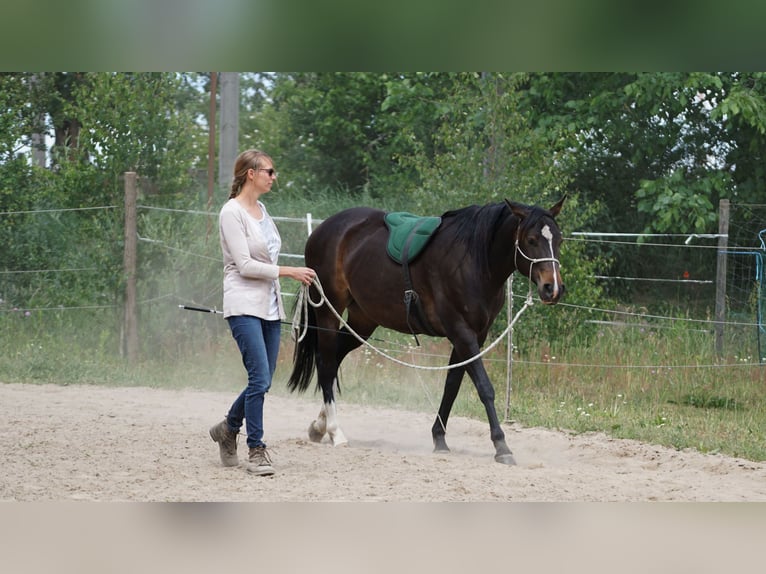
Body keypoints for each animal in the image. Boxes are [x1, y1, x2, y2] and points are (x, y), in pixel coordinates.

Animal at [288, 198, 564, 468]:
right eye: (531, 240)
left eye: (559, 240)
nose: (553, 288)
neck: (474, 261)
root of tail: (323, 230)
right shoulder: (462, 332)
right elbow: (484, 387)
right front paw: (501, 446)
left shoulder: (474, 335)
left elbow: (452, 386)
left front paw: (439, 438)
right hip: (327, 311)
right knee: (325, 364)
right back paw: (335, 431)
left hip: (362, 321)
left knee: (333, 360)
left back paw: (319, 425)